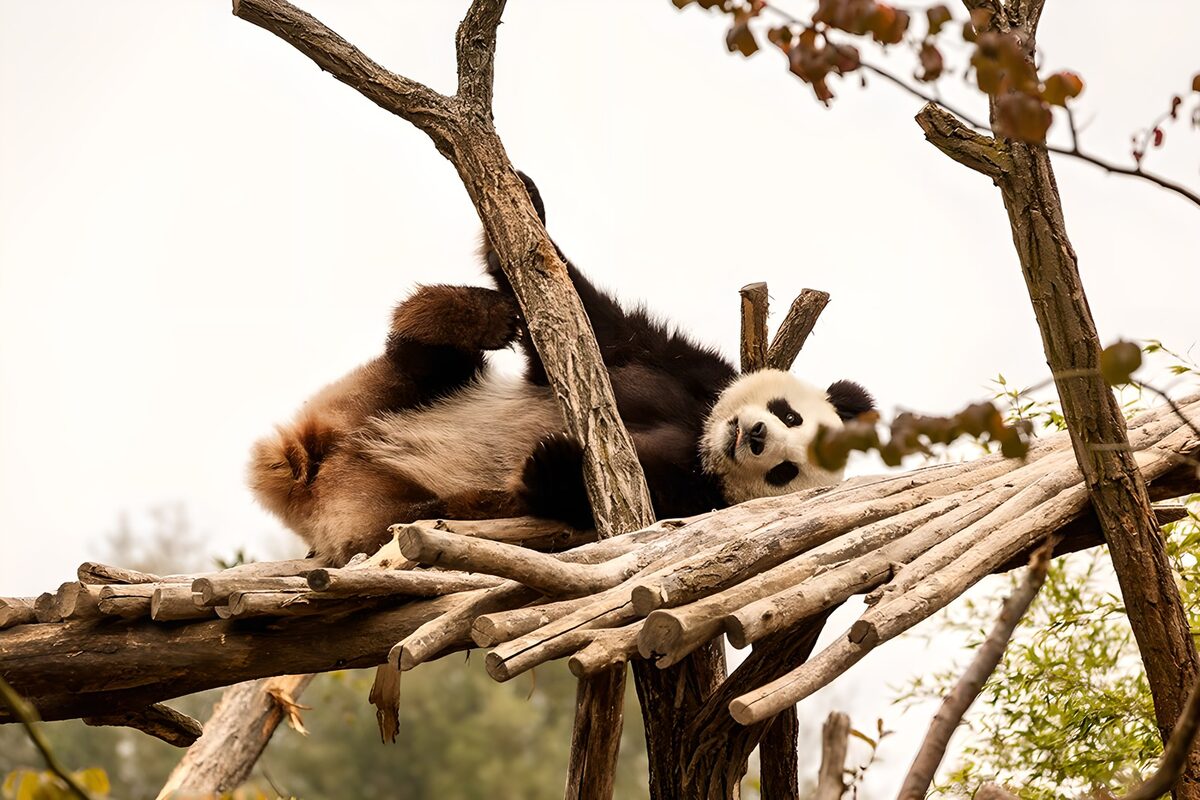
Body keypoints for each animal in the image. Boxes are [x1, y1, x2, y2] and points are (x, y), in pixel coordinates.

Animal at [248, 175, 874, 565]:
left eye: (784, 473)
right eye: (788, 414)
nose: (755, 435)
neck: (700, 435)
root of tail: (311, 474)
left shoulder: (694, 504)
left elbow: (613, 506)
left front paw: (555, 461)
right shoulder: (682, 364)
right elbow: (597, 324)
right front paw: (527, 204)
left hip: (375, 511)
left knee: (426, 509)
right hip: (380, 396)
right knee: (426, 362)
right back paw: (463, 317)